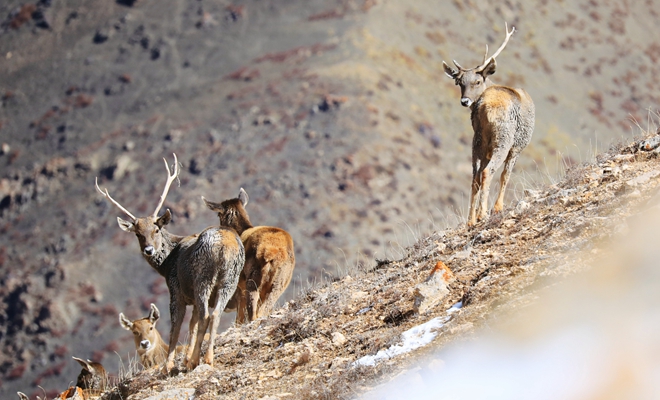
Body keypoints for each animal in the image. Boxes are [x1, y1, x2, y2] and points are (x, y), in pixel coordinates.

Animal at [95, 154, 245, 372]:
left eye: (156, 230)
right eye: (138, 234)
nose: (149, 250)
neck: (167, 263)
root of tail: (224, 246)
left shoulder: (176, 290)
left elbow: (176, 327)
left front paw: (169, 365)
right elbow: (191, 326)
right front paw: (185, 358)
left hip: (203, 278)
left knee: (205, 315)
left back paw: (197, 360)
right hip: (229, 279)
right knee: (215, 314)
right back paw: (207, 358)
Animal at [203, 188, 295, 324]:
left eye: (218, 215)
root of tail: (270, 252)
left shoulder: (239, 288)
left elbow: (239, 318)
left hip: (253, 278)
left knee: (254, 313)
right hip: (280, 280)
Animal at [443, 23, 535, 226]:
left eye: (477, 81)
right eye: (459, 82)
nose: (465, 101)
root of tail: (485, 107)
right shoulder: (518, 146)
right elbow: (506, 175)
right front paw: (497, 208)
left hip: (477, 141)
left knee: (475, 176)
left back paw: (471, 220)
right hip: (503, 139)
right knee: (487, 172)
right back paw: (484, 214)